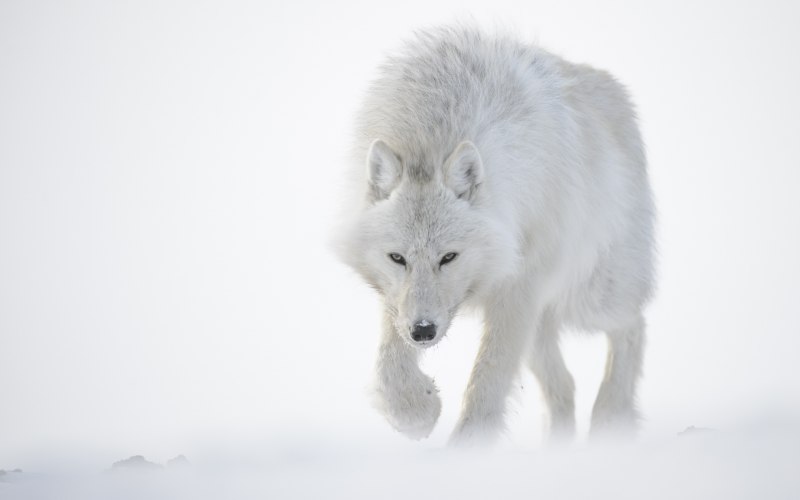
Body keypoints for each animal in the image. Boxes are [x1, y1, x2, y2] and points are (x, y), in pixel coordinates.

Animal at [336, 26, 655, 445]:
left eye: (449, 257)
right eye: (398, 258)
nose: (423, 332)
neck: (433, 130)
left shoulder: (519, 286)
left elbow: (488, 378)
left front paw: (466, 449)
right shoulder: (398, 298)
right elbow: (390, 360)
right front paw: (415, 412)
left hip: (590, 296)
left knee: (633, 325)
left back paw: (610, 420)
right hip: (541, 325)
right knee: (565, 385)